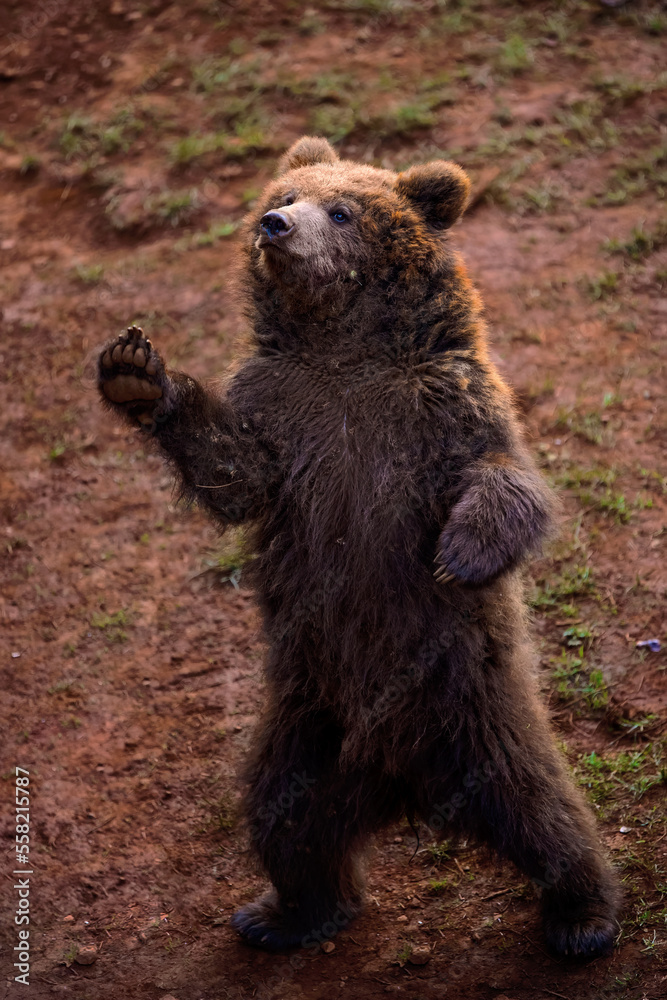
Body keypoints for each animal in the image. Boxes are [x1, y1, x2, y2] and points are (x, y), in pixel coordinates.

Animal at [97, 136, 621, 959]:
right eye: (284, 192)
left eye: (341, 209)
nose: (276, 225)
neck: (343, 353)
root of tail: (400, 786)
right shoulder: (283, 415)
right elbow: (234, 474)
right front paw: (134, 373)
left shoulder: (444, 404)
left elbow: (508, 478)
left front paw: (461, 551)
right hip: (309, 723)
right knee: (285, 815)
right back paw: (287, 912)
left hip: (468, 706)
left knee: (543, 809)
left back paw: (582, 917)